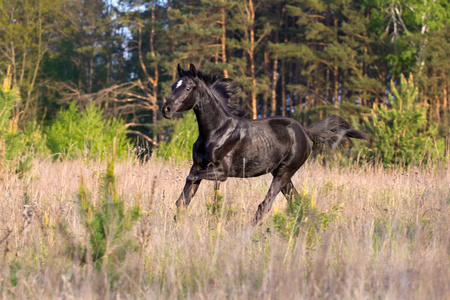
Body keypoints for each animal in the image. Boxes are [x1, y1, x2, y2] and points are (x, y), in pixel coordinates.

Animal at [162, 63, 366, 223]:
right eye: (173, 86)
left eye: (188, 88)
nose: (166, 109)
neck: (216, 131)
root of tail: (306, 132)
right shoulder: (198, 165)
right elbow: (182, 200)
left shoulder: (221, 172)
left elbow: (191, 179)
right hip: (281, 173)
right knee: (295, 201)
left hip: (285, 171)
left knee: (265, 205)